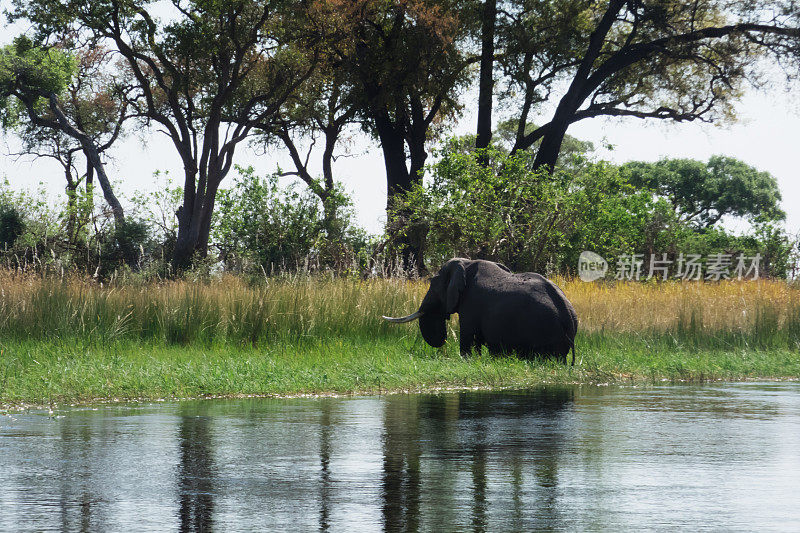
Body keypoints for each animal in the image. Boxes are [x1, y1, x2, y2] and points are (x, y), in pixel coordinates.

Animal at [384, 256, 580, 364]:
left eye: (433, 283)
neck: (467, 263)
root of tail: (568, 315)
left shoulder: (471, 304)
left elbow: (467, 336)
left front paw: (466, 360)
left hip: (545, 331)